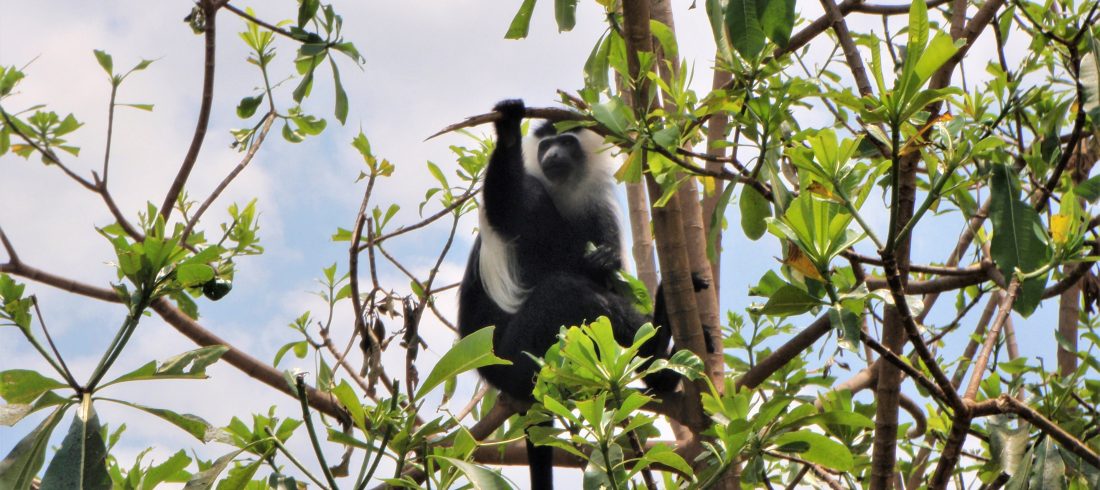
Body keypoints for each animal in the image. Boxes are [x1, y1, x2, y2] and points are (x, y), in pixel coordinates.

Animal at [457, 98, 682, 484]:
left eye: (567, 142)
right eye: (547, 145)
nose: (554, 155)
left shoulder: (598, 213)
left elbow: (611, 277)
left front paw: (604, 262)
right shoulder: (528, 197)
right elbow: (504, 206)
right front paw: (508, 127)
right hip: (515, 356)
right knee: (562, 291)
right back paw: (657, 355)